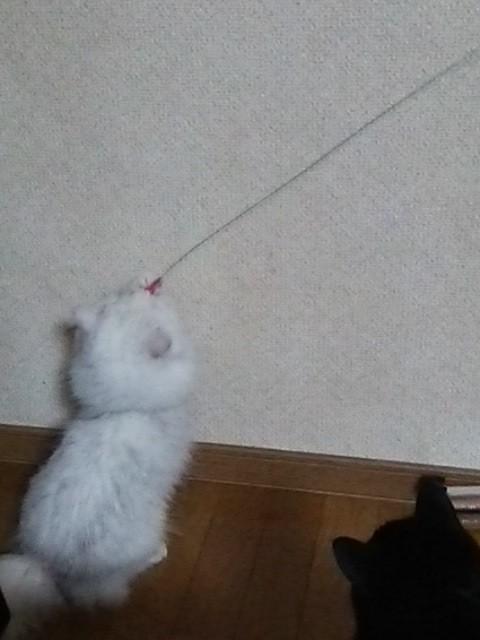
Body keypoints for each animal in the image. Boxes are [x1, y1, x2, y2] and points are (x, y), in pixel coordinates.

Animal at [0, 275, 194, 637]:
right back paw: (157, 554)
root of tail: (49, 565)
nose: (148, 285)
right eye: (154, 307)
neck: (121, 406)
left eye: (115, 300)